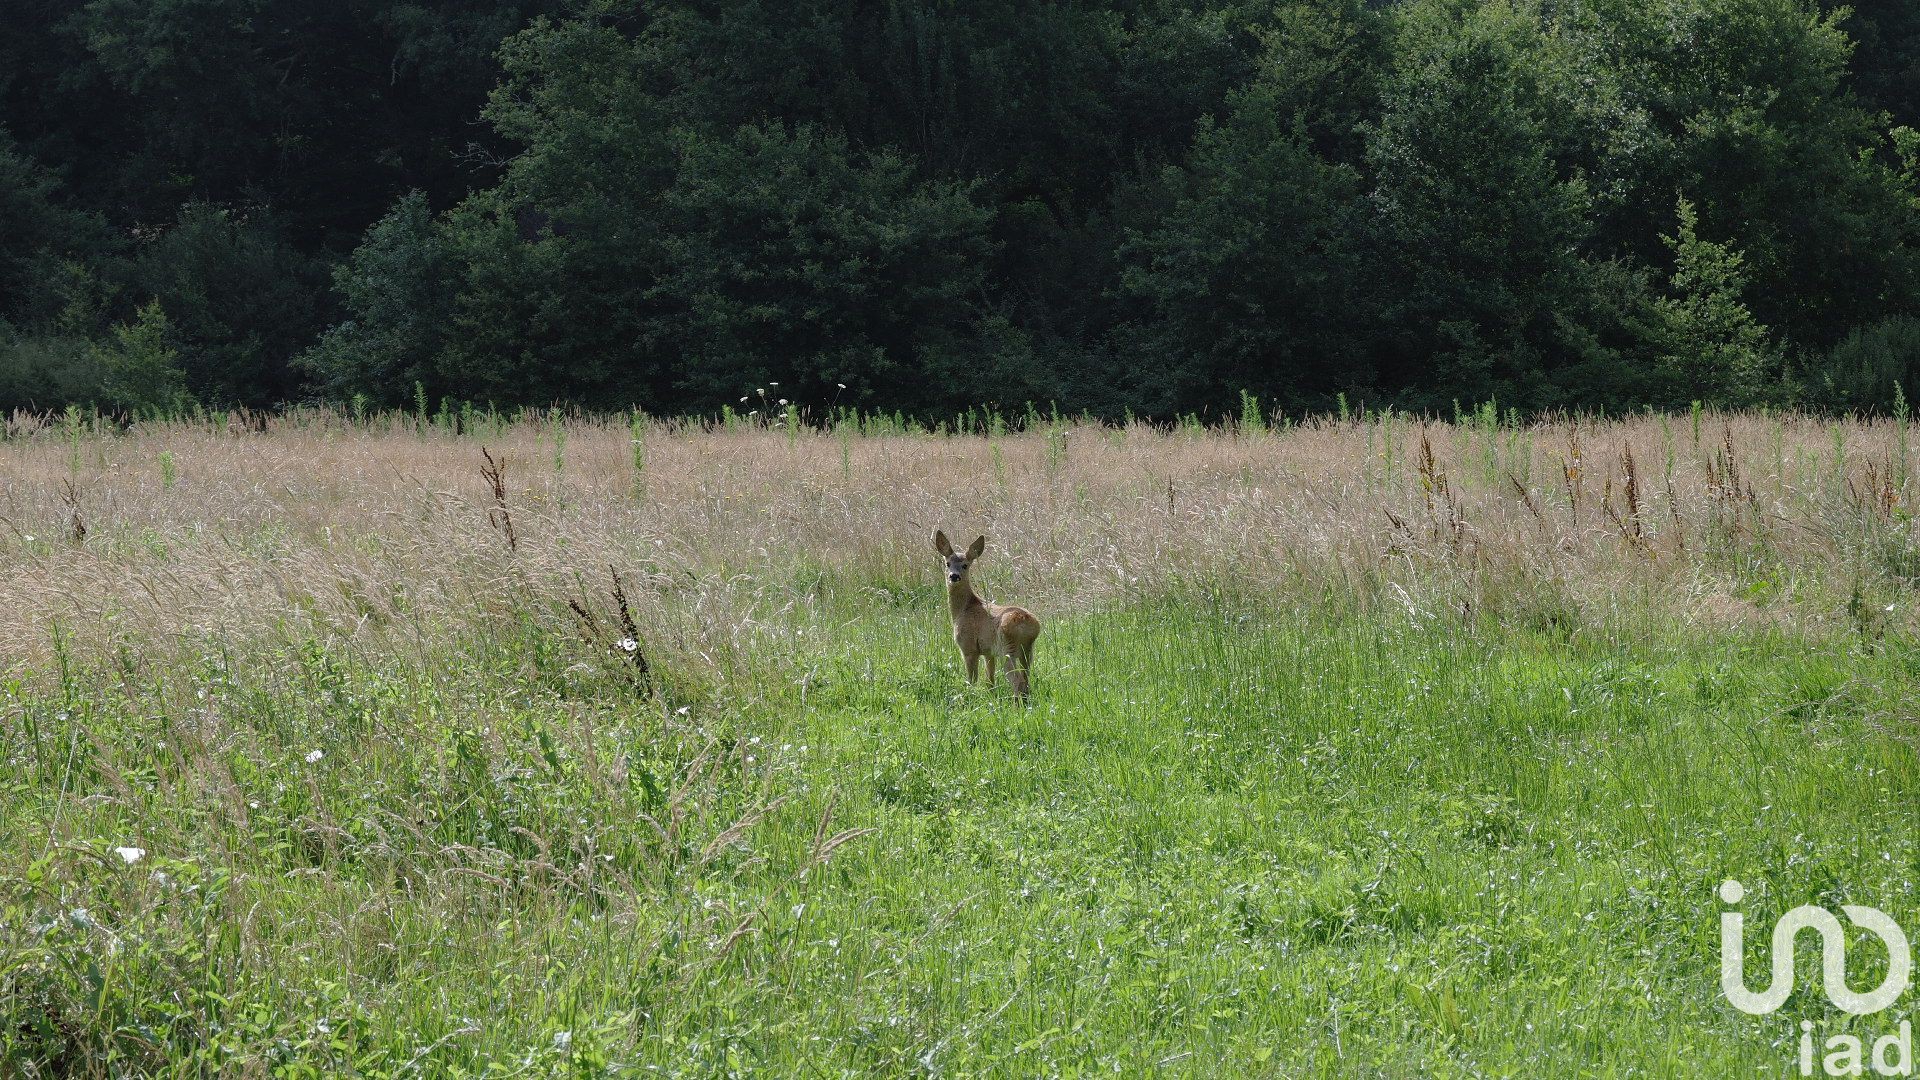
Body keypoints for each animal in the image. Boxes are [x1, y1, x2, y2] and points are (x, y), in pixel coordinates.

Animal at [925, 530, 1036, 699]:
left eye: (965, 565)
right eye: (947, 563)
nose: (954, 576)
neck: (964, 609)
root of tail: (1030, 625)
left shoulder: (968, 647)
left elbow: (972, 680)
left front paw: (970, 696)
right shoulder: (988, 652)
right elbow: (990, 680)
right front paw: (991, 696)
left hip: (1007, 648)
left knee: (1018, 681)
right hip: (1027, 651)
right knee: (1026, 680)